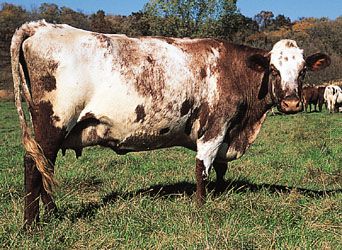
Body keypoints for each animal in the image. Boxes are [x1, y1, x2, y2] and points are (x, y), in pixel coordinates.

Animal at [10, 20, 332, 226]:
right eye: (274, 70)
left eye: (303, 71)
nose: (292, 103)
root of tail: (43, 26)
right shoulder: (214, 127)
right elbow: (203, 169)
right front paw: (202, 209)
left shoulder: (226, 132)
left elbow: (220, 169)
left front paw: (220, 193)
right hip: (52, 124)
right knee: (33, 166)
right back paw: (31, 226)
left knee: (45, 167)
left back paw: (52, 215)